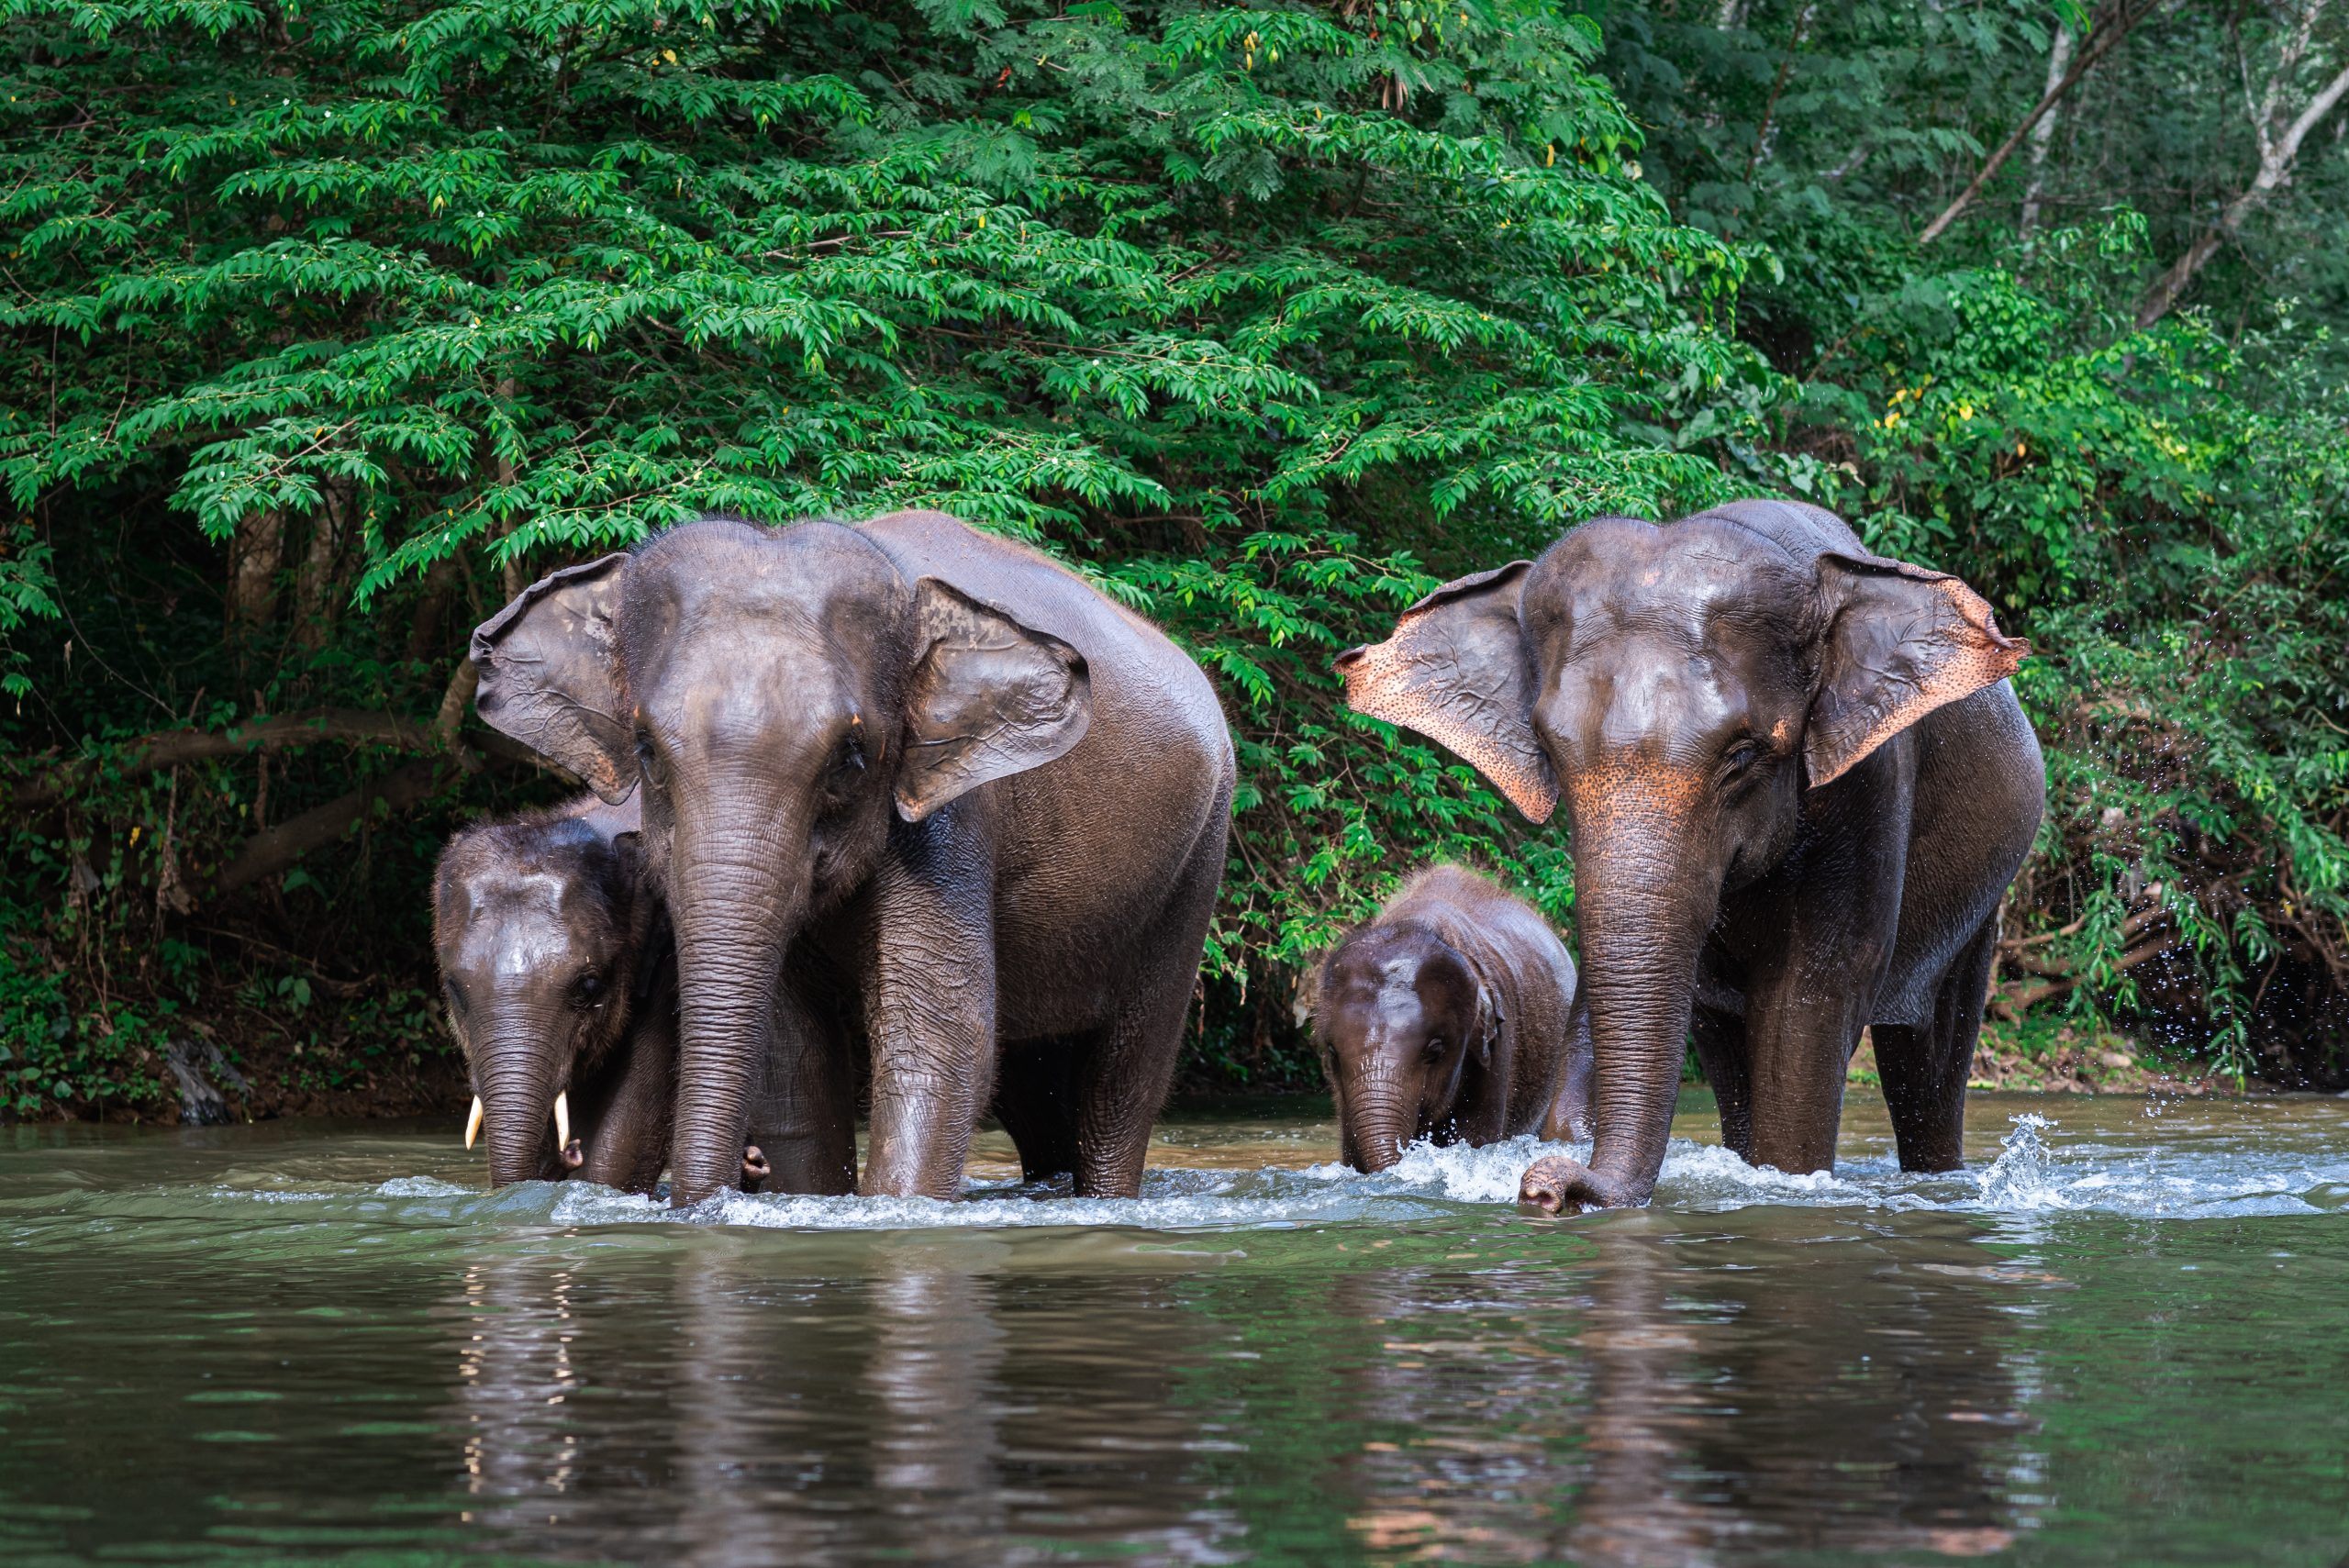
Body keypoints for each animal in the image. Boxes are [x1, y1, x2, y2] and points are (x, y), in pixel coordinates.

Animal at [479, 509, 1249, 1211]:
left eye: (850, 759)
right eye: (645, 750)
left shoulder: (949, 816)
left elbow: (942, 1039)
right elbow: (794, 1063)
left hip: (1195, 864)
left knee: (1123, 1079)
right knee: (1037, 1090)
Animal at [1353, 499, 2048, 1211]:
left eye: (1741, 756)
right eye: (1550, 751)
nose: (1544, 1187)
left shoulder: (1870, 783)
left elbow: (1813, 991)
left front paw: (1788, 1181)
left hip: (1981, 907)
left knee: (1929, 1058)